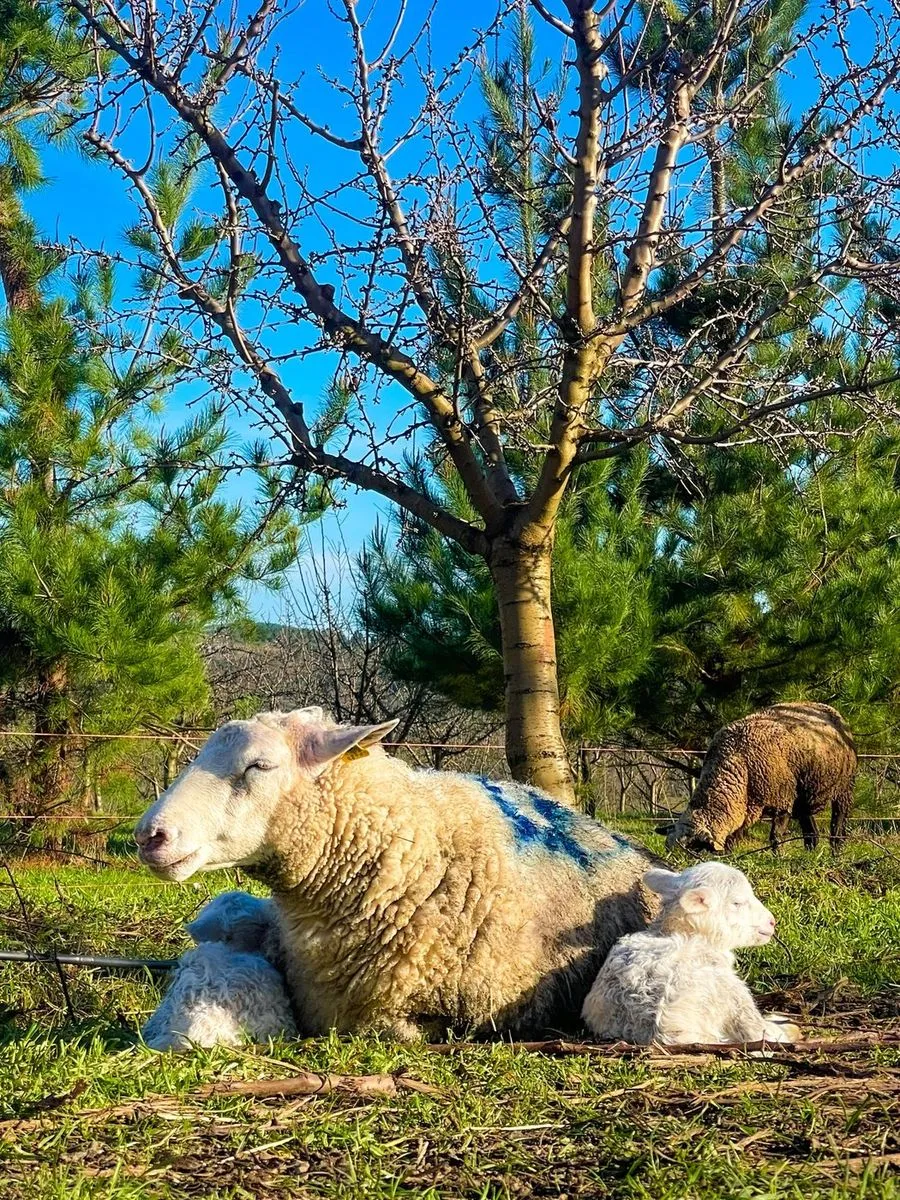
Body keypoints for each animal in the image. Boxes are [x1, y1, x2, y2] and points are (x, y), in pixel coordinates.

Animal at [665, 702, 856, 855]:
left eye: (691, 848)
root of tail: (833, 711)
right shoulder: (743, 809)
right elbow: (732, 838)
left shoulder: (783, 802)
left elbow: (775, 836)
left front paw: (779, 857)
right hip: (803, 795)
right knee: (811, 831)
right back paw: (811, 854)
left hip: (844, 788)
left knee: (838, 822)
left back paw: (836, 851)